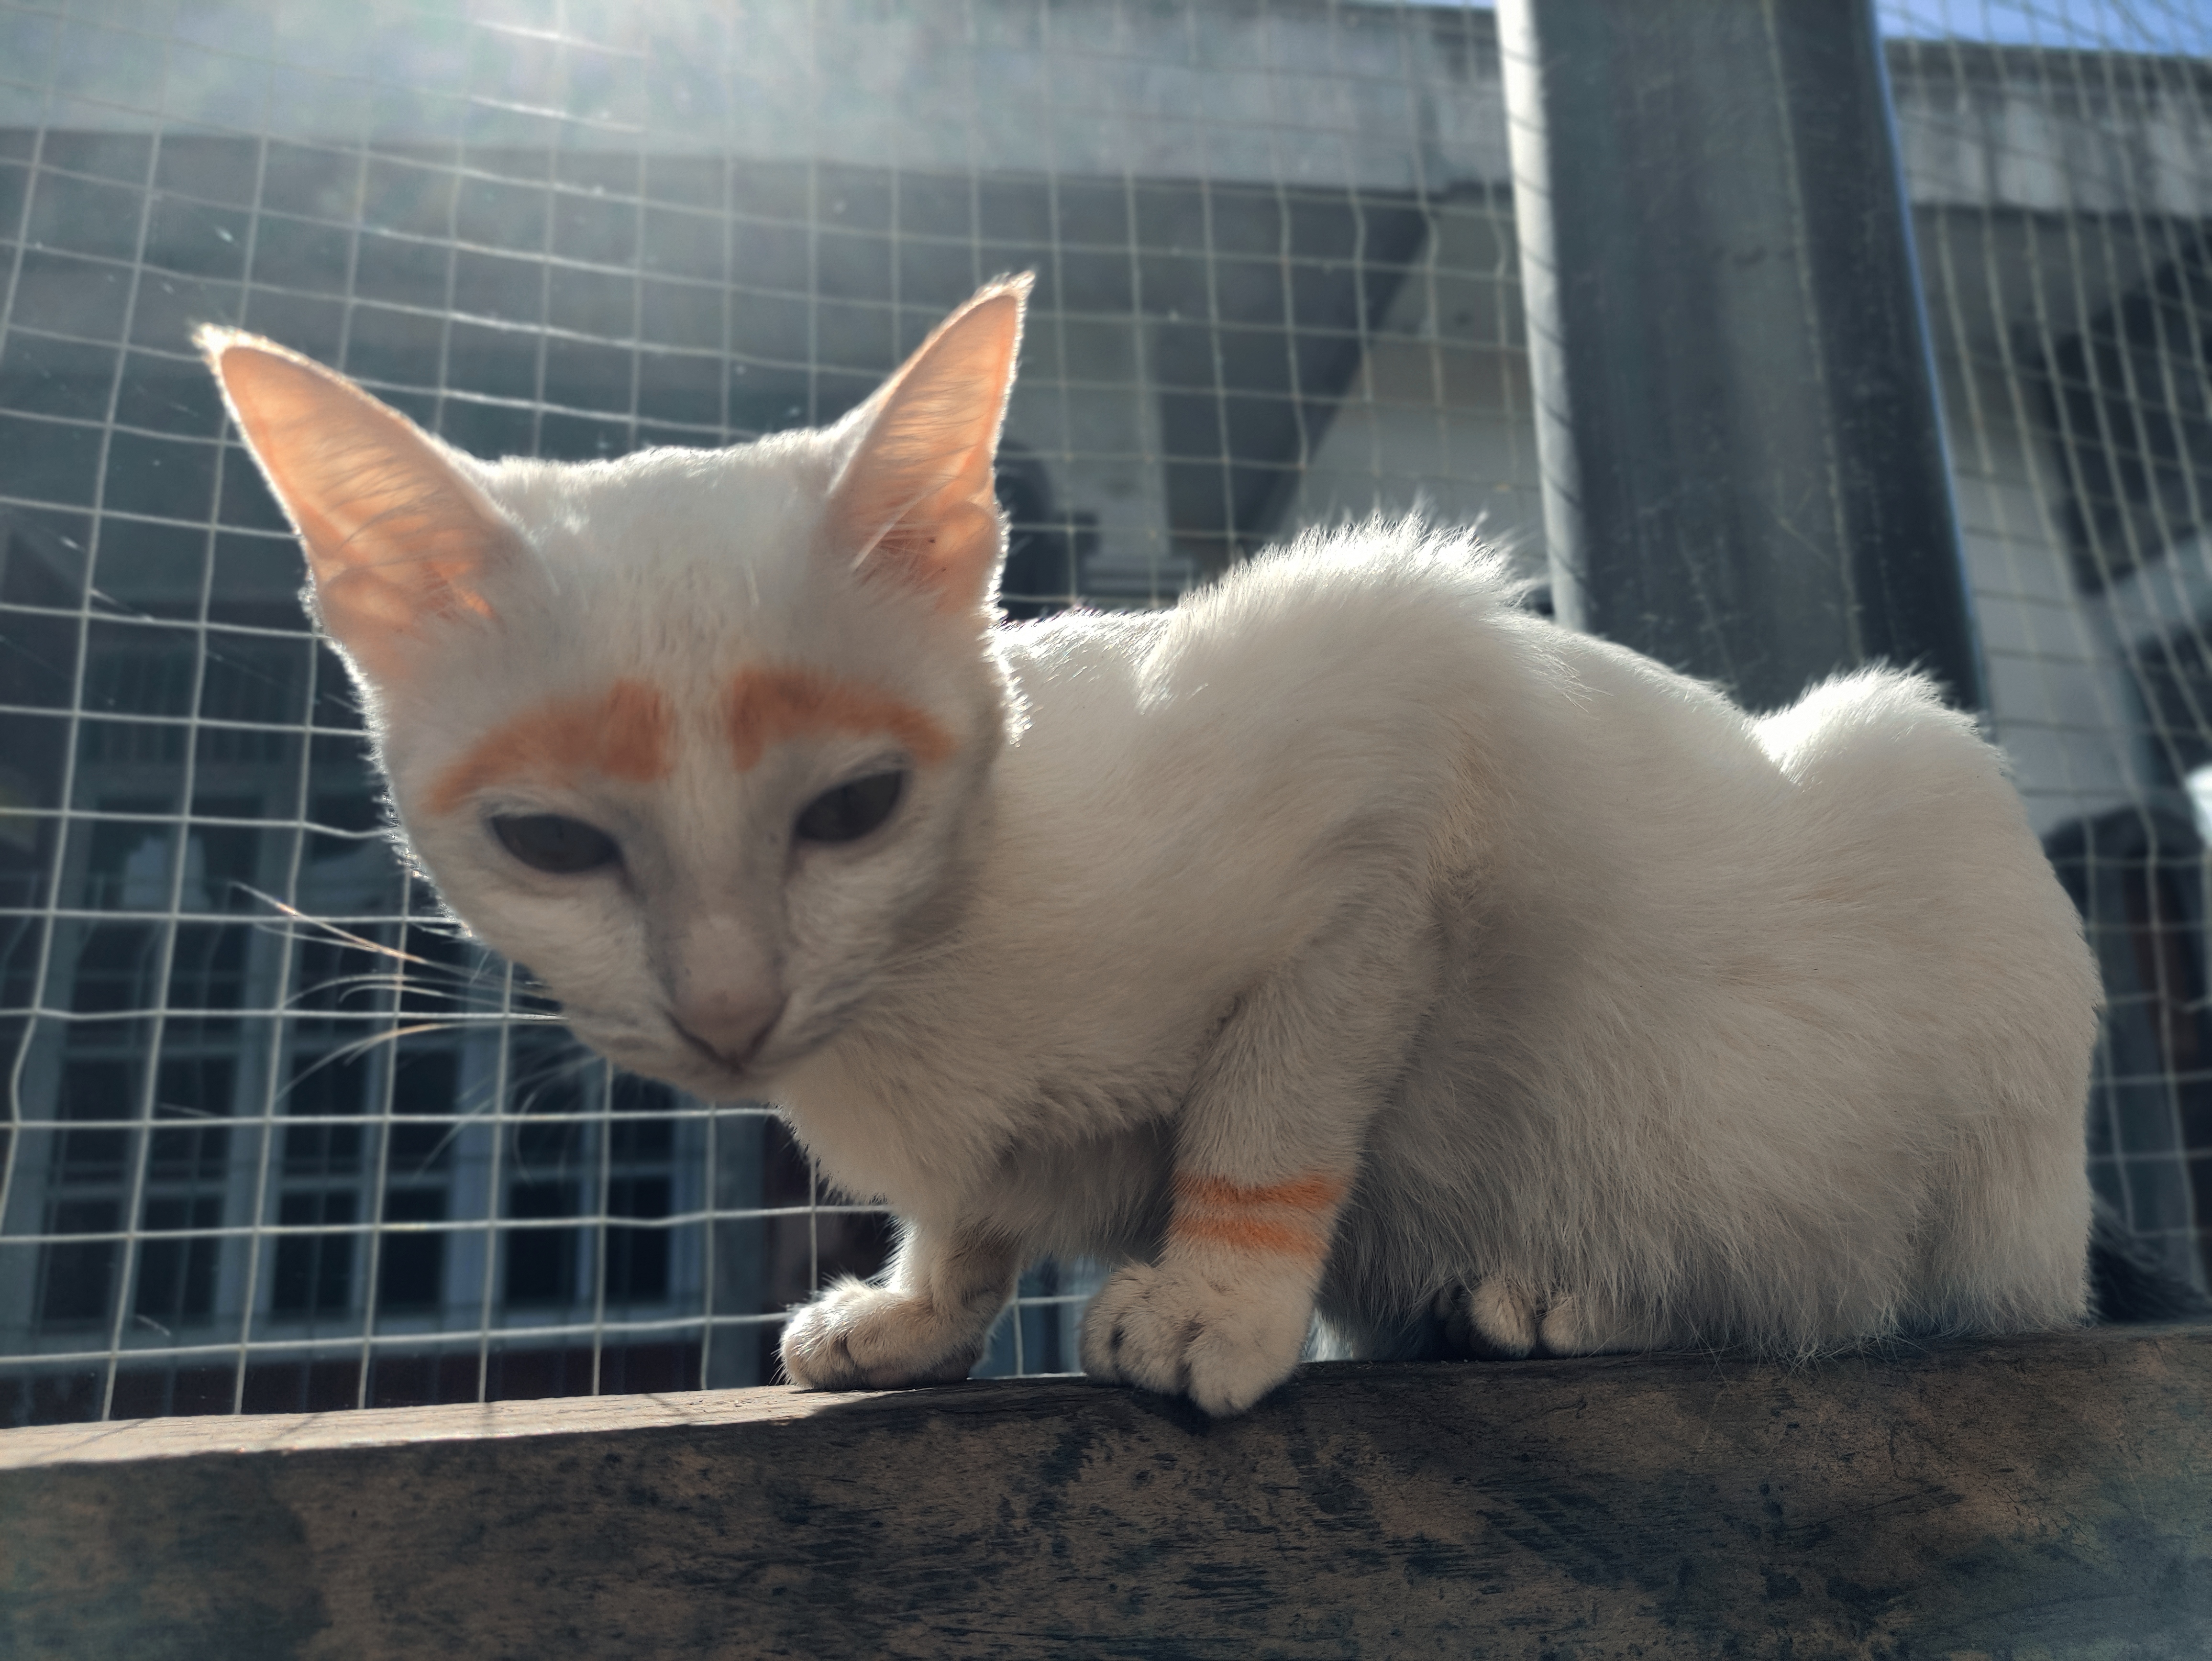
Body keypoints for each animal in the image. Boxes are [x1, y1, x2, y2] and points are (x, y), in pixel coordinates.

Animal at [197, 275, 2102, 1416]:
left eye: (851, 810)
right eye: (547, 840)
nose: (728, 1011)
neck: (933, 975)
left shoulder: (1395, 730)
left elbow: (1266, 1111)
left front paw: (1212, 1303)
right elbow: (972, 1205)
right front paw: (912, 1308)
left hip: (1917, 789)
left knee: (1863, 1289)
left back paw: (1569, 1292)